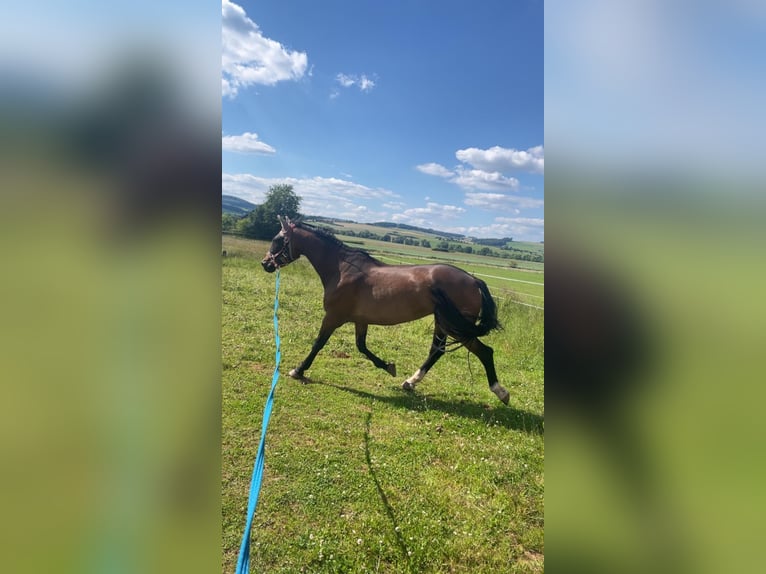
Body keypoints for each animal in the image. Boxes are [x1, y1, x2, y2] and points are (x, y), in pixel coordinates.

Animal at [261, 216, 510, 405]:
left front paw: (298, 370)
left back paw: (501, 392)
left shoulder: (333, 317)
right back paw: (409, 382)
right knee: (437, 351)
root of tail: (473, 280)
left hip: (455, 327)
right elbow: (361, 347)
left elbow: (318, 344)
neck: (342, 270)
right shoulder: (360, 320)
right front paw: (389, 366)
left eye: (277, 240)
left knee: (484, 352)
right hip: (444, 323)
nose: (266, 264)